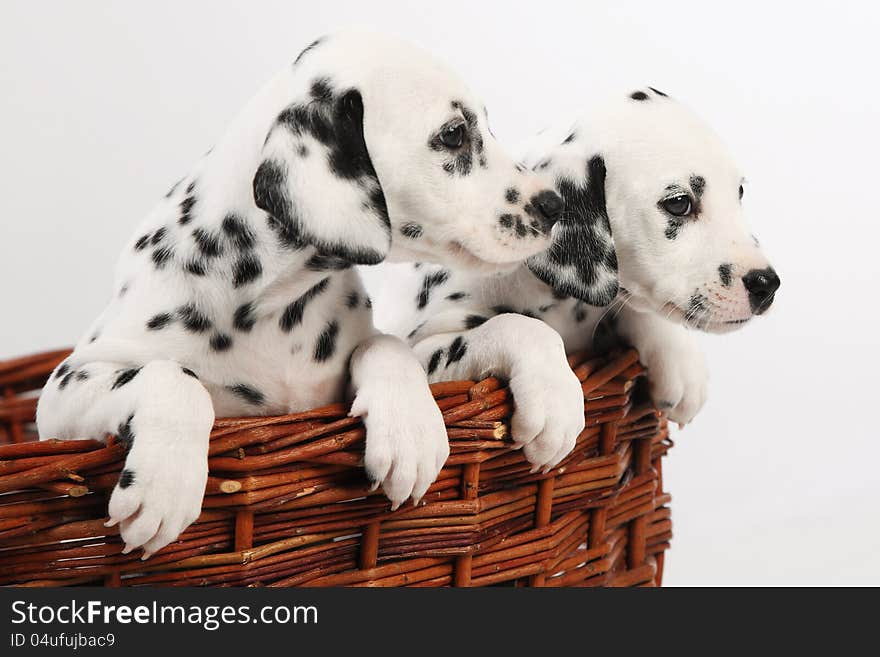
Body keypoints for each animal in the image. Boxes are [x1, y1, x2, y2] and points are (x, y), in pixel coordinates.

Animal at [36, 29, 564, 552]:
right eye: (454, 133)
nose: (555, 205)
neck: (273, 301)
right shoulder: (63, 394)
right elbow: (172, 376)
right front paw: (165, 483)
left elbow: (389, 345)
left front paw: (411, 430)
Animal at [368, 87, 780, 466]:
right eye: (679, 203)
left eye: (739, 192)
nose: (767, 284)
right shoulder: (424, 348)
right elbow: (519, 326)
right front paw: (555, 400)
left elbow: (636, 310)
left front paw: (680, 358)